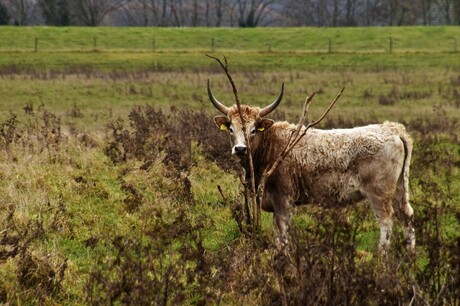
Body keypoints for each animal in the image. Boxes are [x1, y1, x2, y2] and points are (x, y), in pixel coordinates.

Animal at [210, 81, 416, 256]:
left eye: (253, 130)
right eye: (231, 128)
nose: (240, 148)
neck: (272, 145)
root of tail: (392, 129)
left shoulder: (283, 199)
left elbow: (282, 232)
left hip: (380, 193)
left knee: (386, 221)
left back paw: (381, 256)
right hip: (400, 188)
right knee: (407, 215)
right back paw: (409, 255)